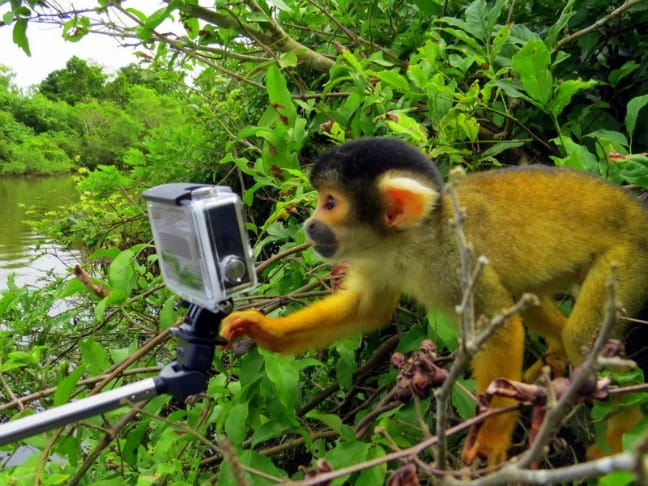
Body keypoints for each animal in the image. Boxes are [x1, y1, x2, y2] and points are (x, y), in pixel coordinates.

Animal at [220, 137, 648, 468]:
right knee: (527, 300)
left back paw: (615, 440)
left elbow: (498, 329)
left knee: (584, 339)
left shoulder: (456, 261)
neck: (414, 239)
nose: (309, 225)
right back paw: (555, 357)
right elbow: (368, 311)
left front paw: (490, 439)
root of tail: (638, 211)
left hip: (627, 260)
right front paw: (263, 330)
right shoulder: (381, 257)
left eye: (329, 203)